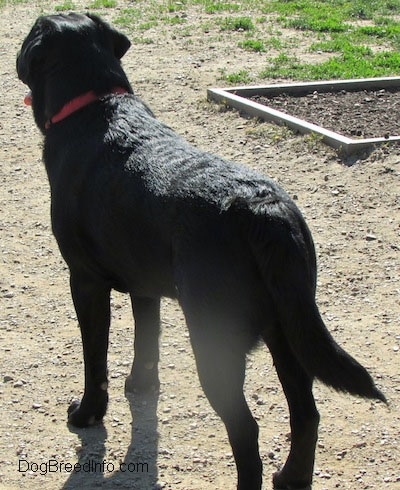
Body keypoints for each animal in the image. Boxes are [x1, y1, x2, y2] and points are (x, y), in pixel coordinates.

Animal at [17, 14, 386, 490]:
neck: (95, 106)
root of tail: (260, 207)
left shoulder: (85, 281)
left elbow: (94, 360)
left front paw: (87, 414)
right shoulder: (144, 285)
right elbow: (147, 340)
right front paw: (140, 385)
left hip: (216, 340)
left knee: (247, 429)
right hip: (290, 329)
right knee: (306, 414)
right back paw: (292, 477)